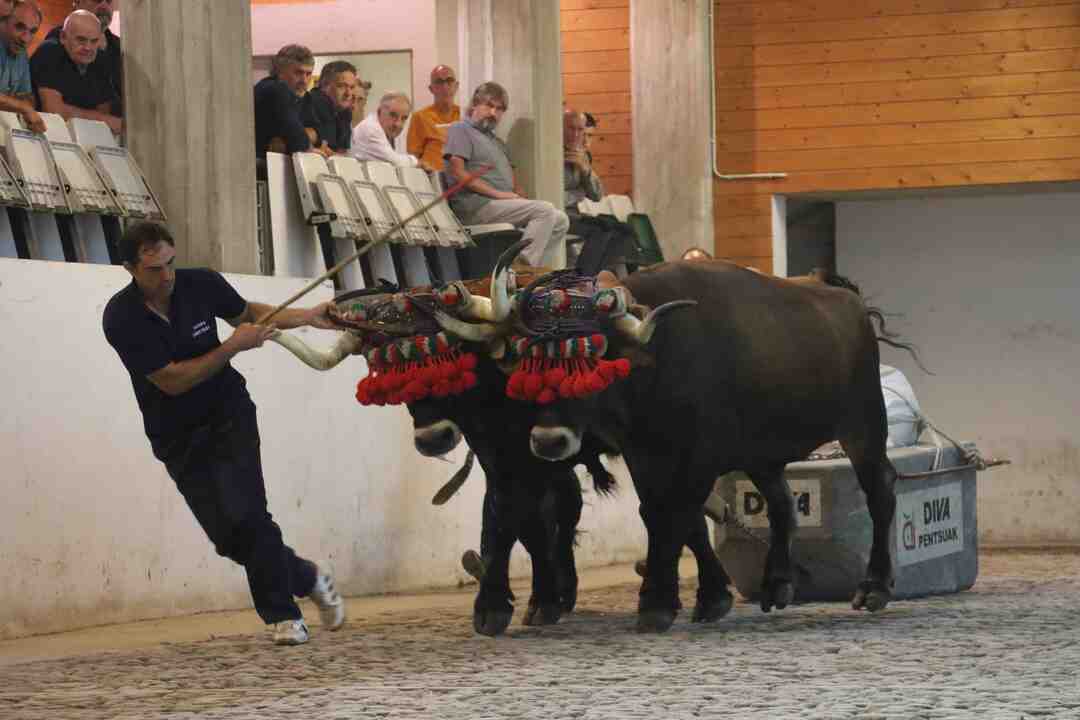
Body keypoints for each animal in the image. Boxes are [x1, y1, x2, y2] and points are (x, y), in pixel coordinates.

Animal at [435, 242, 910, 633]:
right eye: (528, 362)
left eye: (590, 361)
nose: (549, 441)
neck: (660, 362)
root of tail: (844, 296)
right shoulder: (641, 454)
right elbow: (658, 514)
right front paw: (690, 598)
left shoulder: (698, 459)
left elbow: (676, 515)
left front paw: (660, 602)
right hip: (762, 455)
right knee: (782, 504)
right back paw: (777, 584)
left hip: (864, 426)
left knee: (880, 492)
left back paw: (874, 587)